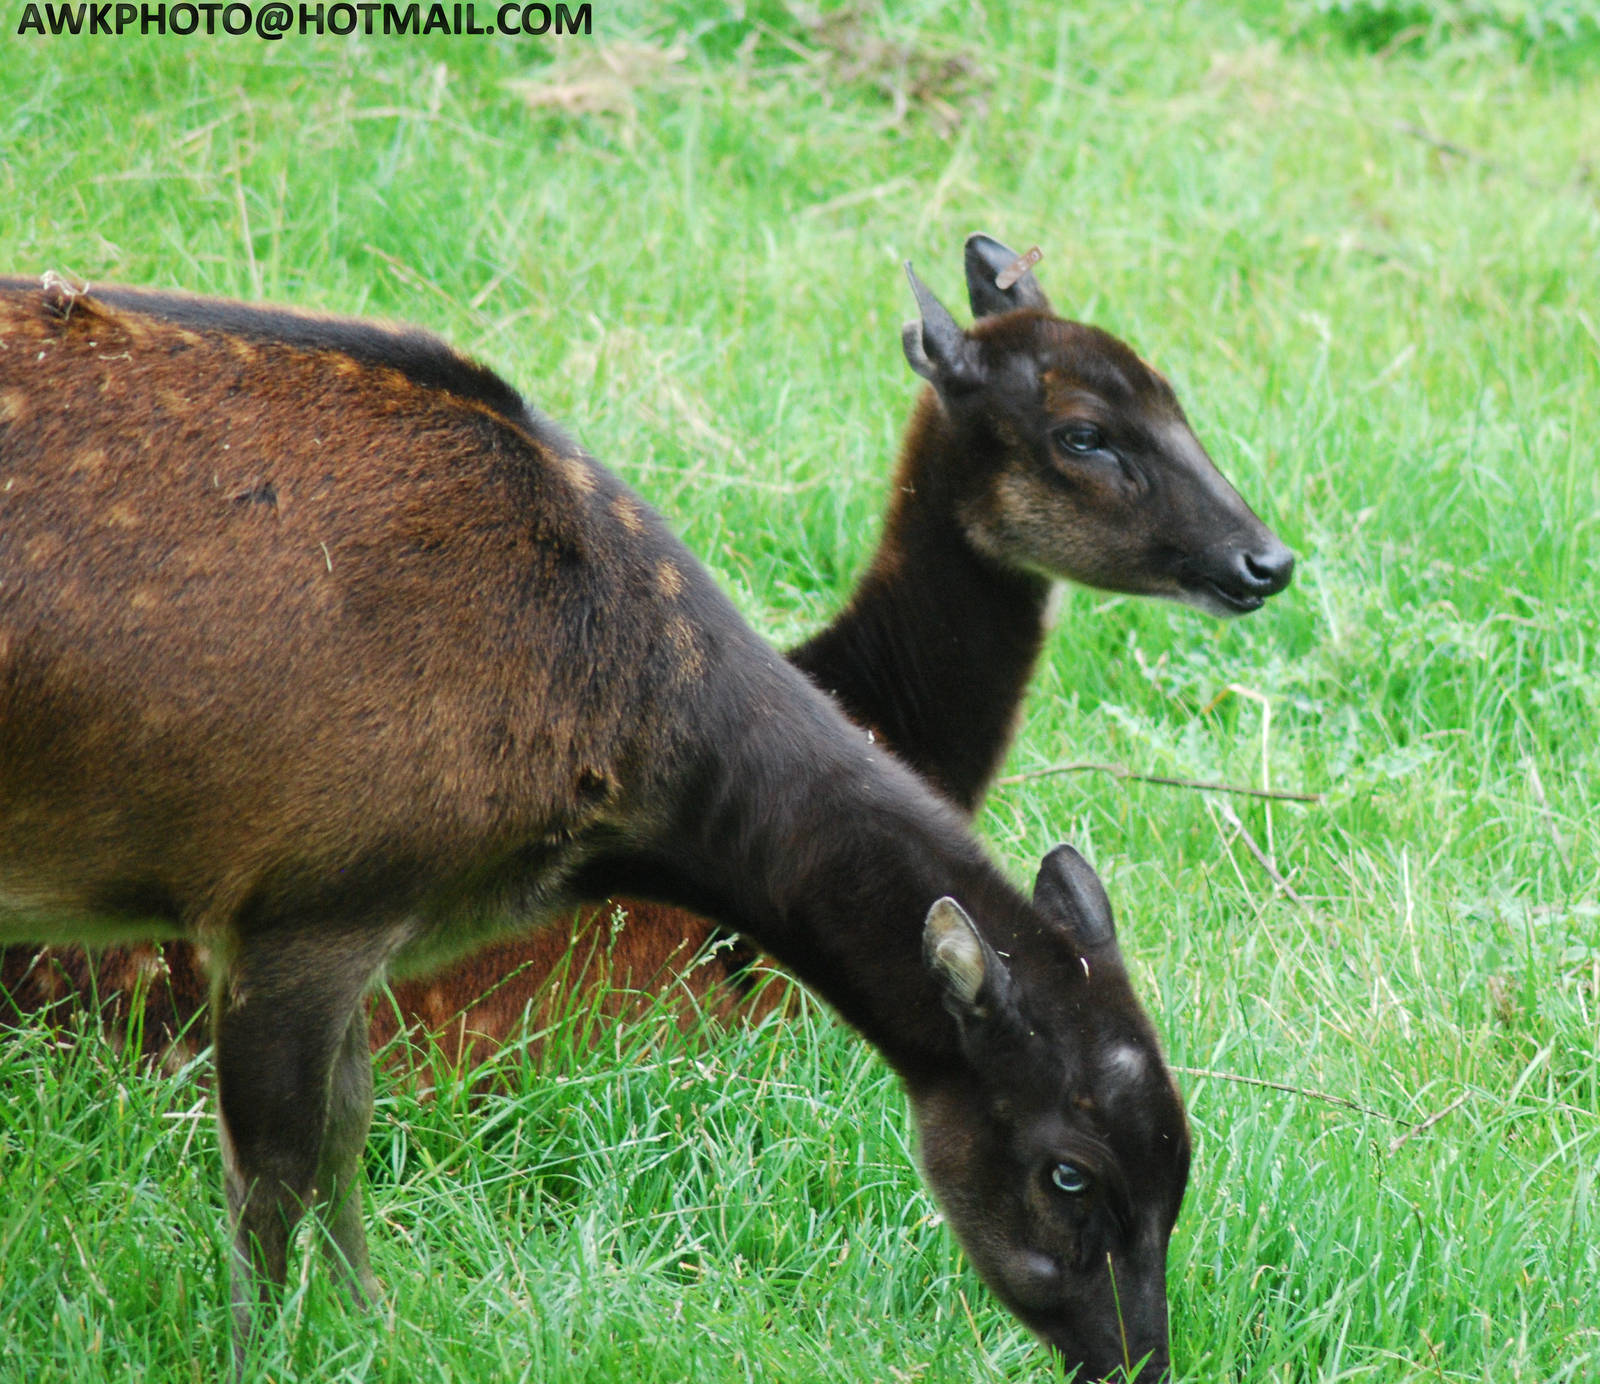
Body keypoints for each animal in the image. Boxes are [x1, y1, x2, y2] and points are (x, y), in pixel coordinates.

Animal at [0, 268, 1190, 1380]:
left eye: (1182, 1165)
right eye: (1067, 1170)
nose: (1134, 1356)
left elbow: (345, 1130)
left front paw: (371, 1328)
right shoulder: (304, 894)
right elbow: (279, 1173)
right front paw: (266, 1352)